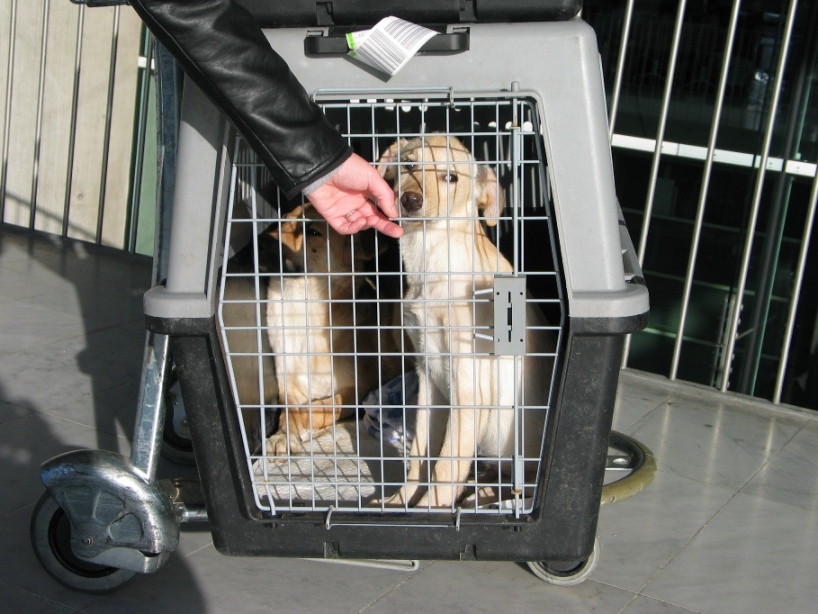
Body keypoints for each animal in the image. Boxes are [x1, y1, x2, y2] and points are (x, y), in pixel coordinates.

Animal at [376, 137, 556, 512]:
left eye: (451, 178)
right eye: (409, 165)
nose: (410, 200)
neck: (432, 261)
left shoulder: (469, 389)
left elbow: (445, 467)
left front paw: (429, 512)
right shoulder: (429, 378)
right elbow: (420, 458)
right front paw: (401, 502)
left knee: (522, 488)